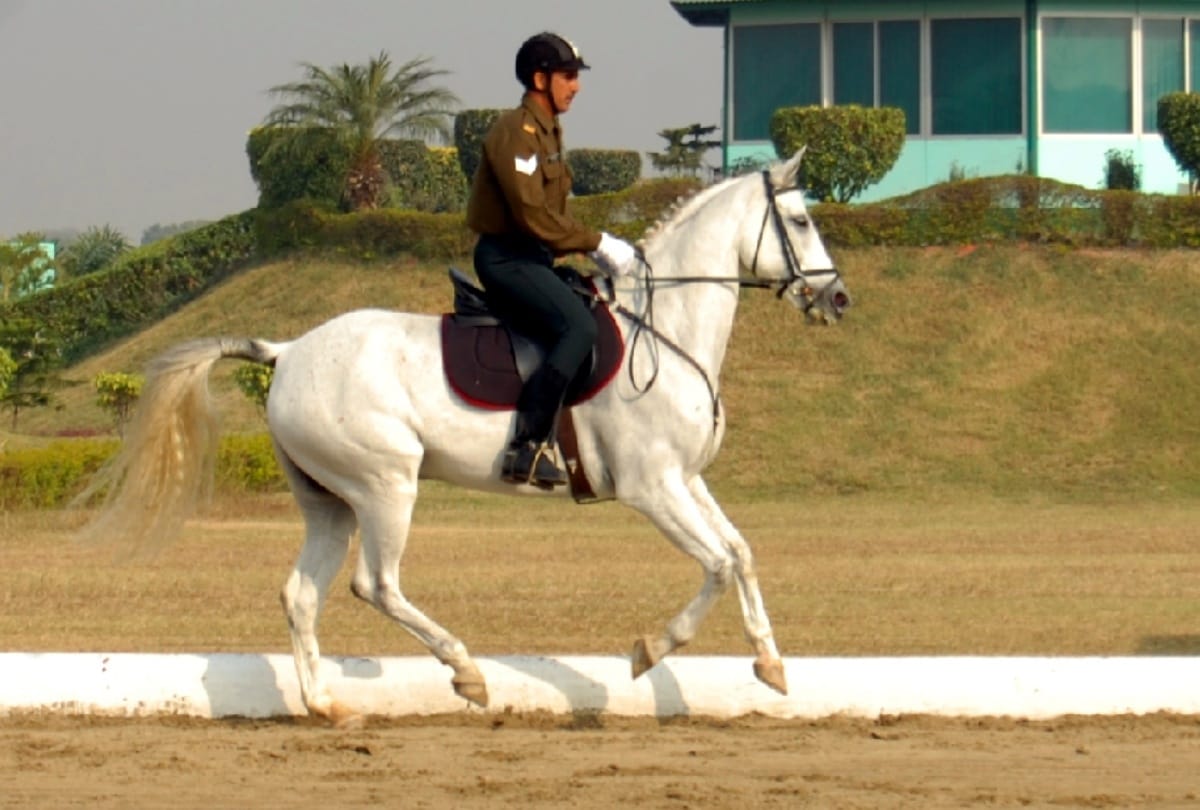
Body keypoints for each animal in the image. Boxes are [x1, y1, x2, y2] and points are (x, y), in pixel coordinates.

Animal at [79, 148, 851, 724]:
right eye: (801, 220)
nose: (838, 299)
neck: (662, 327)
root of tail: (289, 350)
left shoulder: (686, 479)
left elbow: (741, 554)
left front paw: (770, 664)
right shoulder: (651, 487)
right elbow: (716, 565)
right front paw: (648, 651)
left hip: (329, 502)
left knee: (302, 595)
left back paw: (327, 705)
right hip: (386, 485)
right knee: (376, 584)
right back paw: (466, 671)